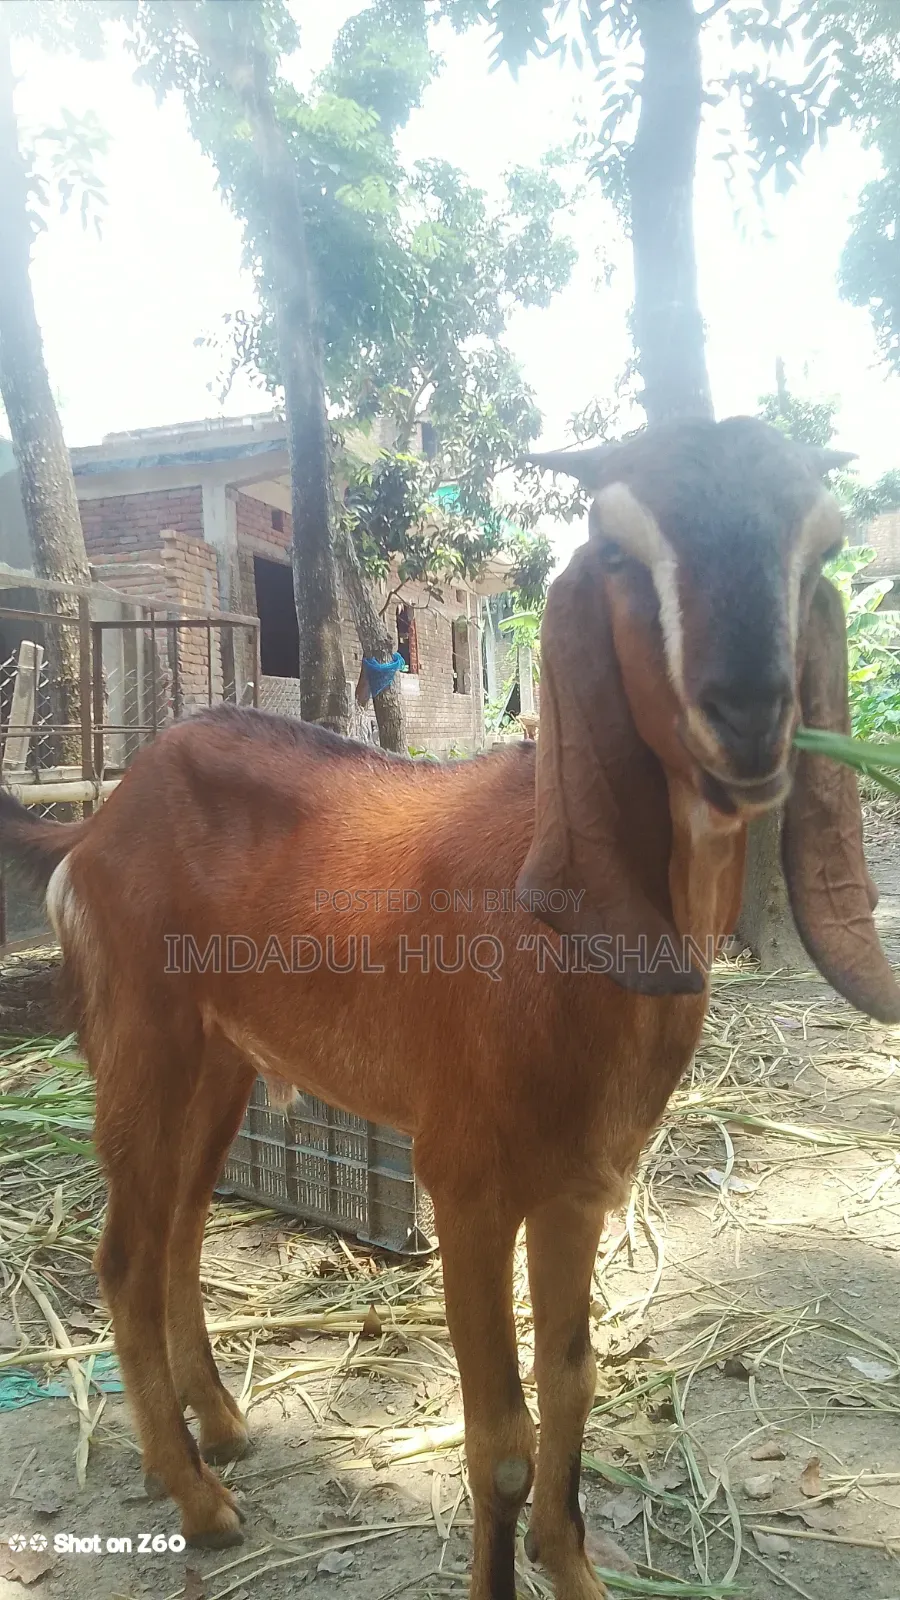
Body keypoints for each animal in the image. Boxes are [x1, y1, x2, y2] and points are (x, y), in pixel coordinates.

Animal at [1, 416, 897, 1600]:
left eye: (820, 543)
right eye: (620, 551)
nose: (749, 714)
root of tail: (97, 824)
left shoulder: (580, 1185)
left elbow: (572, 1383)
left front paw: (575, 1572)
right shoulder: (468, 1184)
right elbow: (502, 1440)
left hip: (221, 1057)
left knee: (181, 1227)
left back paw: (222, 1428)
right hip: (140, 1041)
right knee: (123, 1255)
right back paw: (198, 1498)